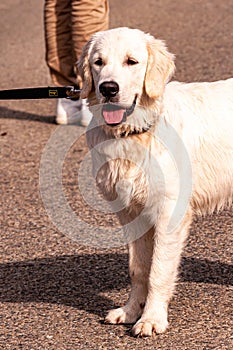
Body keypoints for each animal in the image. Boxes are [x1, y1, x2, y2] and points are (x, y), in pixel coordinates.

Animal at [78, 26, 233, 336]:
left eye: (131, 62)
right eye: (98, 62)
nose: (108, 89)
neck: (136, 132)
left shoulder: (169, 213)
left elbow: (158, 271)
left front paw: (151, 318)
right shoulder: (130, 213)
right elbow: (138, 269)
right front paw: (129, 311)